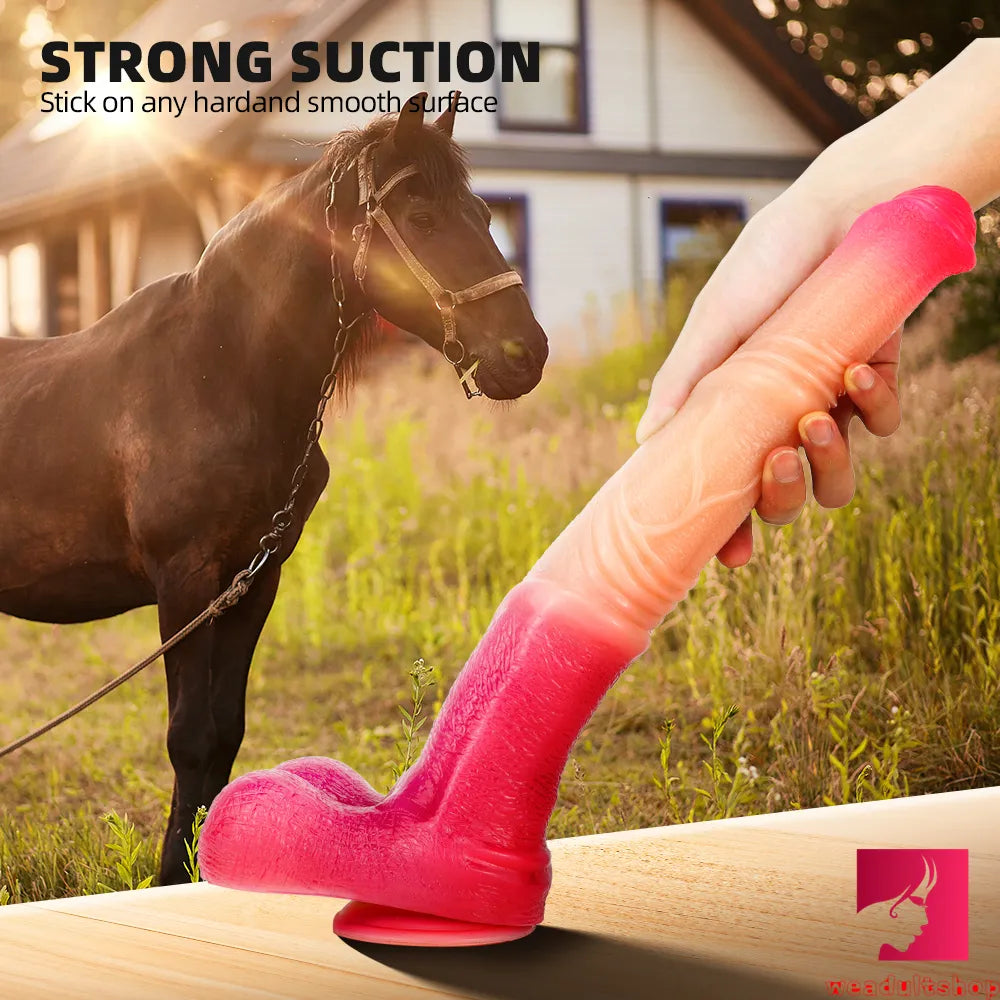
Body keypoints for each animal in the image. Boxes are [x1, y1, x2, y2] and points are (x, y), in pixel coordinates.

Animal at [0, 92, 548, 885]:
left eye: (482, 213)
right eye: (422, 218)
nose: (525, 352)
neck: (216, 373)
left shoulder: (254, 581)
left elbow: (225, 735)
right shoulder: (185, 581)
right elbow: (191, 738)